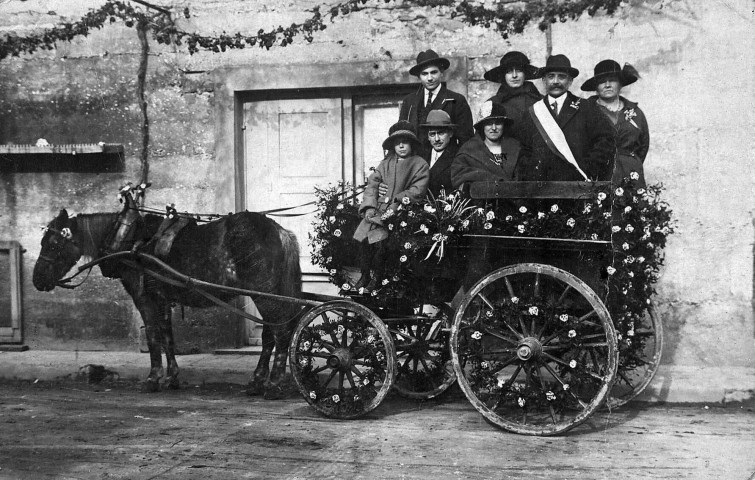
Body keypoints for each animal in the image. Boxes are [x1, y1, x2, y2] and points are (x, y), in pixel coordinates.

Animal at [31, 190, 304, 398]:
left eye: (53, 244)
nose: (37, 280)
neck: (130, 240)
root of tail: (280, 232)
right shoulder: (162, 298)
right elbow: (167, 336)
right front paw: (172, 377)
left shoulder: (144, 298)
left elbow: (153, 335)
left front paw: (153, 378)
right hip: (268, 293)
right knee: (269, 334)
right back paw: (257, 381)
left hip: (265, 294)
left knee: (281, 332)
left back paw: (275, 384)